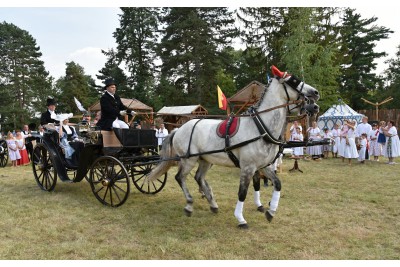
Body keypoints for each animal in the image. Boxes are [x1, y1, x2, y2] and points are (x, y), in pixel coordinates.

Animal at [145, 65, 320, 228]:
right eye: (294, 81)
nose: (316, 94)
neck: (260, 128)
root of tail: (178, 129)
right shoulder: (248, 167)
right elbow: (242, 193)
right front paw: (241, 219)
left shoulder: (263, 166)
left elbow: (277, 184)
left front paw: (270, 211)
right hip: (188, 160)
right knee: (180, 177)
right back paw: (189, 204)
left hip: (205, 160)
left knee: (199, 178)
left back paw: (213, 204)